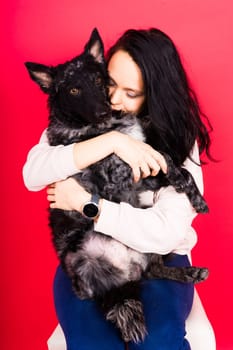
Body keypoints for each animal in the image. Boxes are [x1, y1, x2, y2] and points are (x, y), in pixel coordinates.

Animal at [25, 28, 209, 344]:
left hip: (149, 246)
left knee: (153, 270)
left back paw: (190, 273)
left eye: (100, 81)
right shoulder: (121, 172)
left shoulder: (147, 168)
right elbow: (155, 156)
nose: (102, 111)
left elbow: (174, 164)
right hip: (83, 259)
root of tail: (125, 275)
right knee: (95, 291)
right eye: (73, 90)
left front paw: (196, 198)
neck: (105, 128)